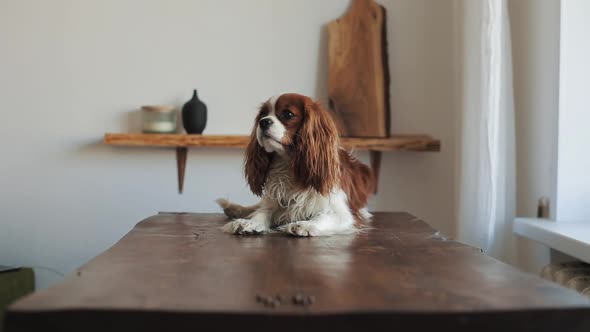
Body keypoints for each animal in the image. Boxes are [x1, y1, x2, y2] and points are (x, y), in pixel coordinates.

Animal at [220, 93, 376, 236]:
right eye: (262, 115)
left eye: (288, 114)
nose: (263, 122)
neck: (288, 164)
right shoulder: (273, 202)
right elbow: (261, 213)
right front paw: (249, 222)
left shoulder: (344, 214)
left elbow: (323, 217)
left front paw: (303, 225)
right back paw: (235, 209)